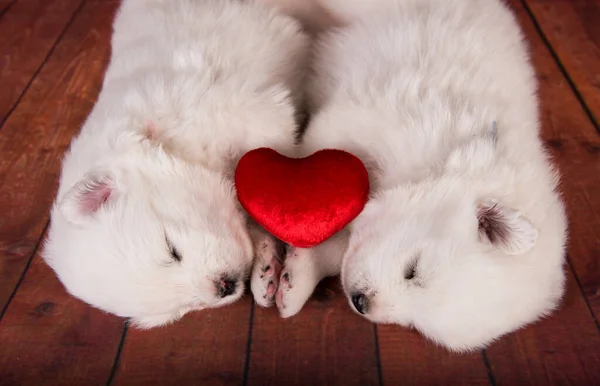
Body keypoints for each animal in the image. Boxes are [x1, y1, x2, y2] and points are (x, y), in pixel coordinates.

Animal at [270, 0, 568, 352]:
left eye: (417, 324)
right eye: (413, 270)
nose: (360, 302)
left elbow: (337, 243)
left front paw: (295, 280)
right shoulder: (358, 122)